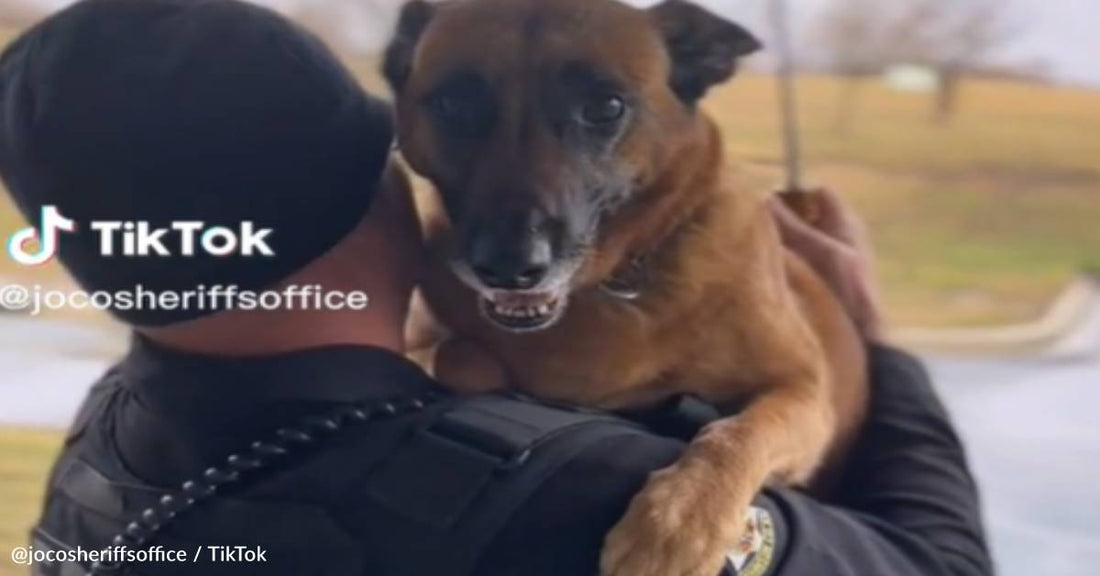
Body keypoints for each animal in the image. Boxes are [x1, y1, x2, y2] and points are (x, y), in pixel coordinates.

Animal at [387, 1, 866, 576]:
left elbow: (734, 433)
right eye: (454, 102)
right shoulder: (432, 333)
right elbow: (458, 354)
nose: (509, 266)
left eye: (605, 107)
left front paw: (681, 521)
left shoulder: (803, 391)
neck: (620, 279)